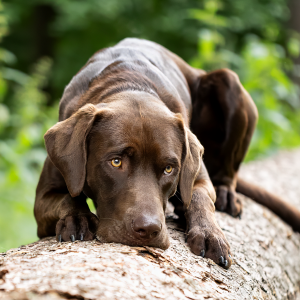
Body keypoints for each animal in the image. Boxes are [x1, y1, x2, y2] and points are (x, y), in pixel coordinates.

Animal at [35, 38, 300, 270]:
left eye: (169, 168)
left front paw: (209, 234)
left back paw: (224, 195)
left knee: (227, 173)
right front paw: (77, 218)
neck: (129, 84)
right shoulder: (44, 197)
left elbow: (200, 199)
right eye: (116, 162)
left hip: (230, 83)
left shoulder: (198, 176)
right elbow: (68, 198)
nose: (149, 230)